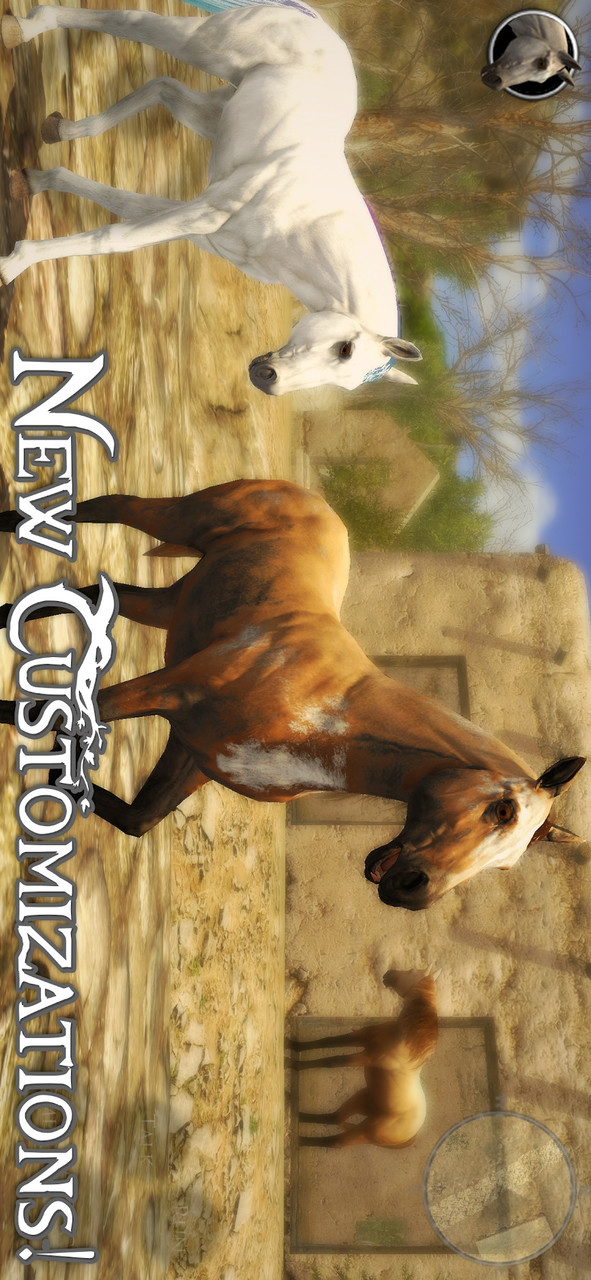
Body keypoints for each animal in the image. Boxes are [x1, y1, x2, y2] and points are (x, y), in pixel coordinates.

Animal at [0, 2, 422, 395]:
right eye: (345, 348)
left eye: (343, 383)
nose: (266, 378)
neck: (301, 219)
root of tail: (315, 21)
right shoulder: (204, 212)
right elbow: (110, 239)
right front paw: (12, 266)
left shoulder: (202, 229)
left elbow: (119, 204)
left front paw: (32, 182)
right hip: (202, 46)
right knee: (131, 22)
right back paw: (22, 28)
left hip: (215, 112)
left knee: (163, 86)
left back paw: (59, 129)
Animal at [0, 479, 584, 909]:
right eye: (501, 811)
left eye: (506, 864)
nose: (413, 892)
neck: (323, 718)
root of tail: (314, 498)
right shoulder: (168, 690)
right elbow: (40, 712)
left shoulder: (193, 754)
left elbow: (137, 820)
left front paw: (58, 782)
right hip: (177, 520)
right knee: (113, 506)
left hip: (173, 604)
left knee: (96, 594)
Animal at [288, 968, 438, 1149]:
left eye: (411, 971)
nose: (388, 974)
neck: (404, 1041)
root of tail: (411, 1134)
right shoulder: (361, 1037)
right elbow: (328, 1041)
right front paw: (291, 1045)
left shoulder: (366, 1057)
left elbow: (332, 1061)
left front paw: (293, 1064)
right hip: (359, 1101)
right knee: (335, 1117)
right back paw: (295, 1112)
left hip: (364, 1132)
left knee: (335, 1141)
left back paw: (297, 1140)